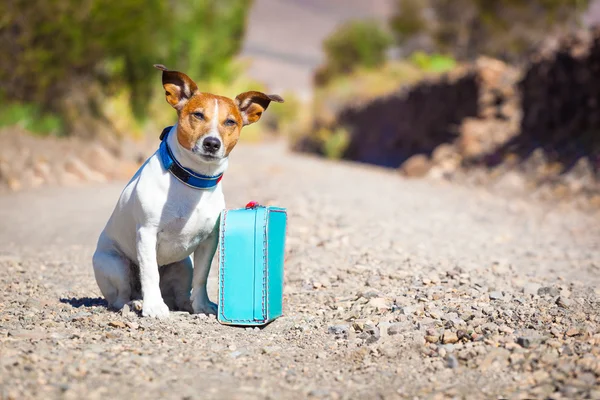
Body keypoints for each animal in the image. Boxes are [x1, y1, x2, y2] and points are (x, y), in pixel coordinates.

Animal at [92, 65, 284, 318]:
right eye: (198, 115)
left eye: (230, 122)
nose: (212, 143)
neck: (193, 181)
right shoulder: (146, 233)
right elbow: (149, 273)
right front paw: (154, 307)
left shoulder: (208, 242)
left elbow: (202, 277)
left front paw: (202, 305)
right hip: (116, 265)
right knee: (121, 296)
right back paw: (136, 303)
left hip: (183, 266)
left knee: (180, 293)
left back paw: (185, 304)